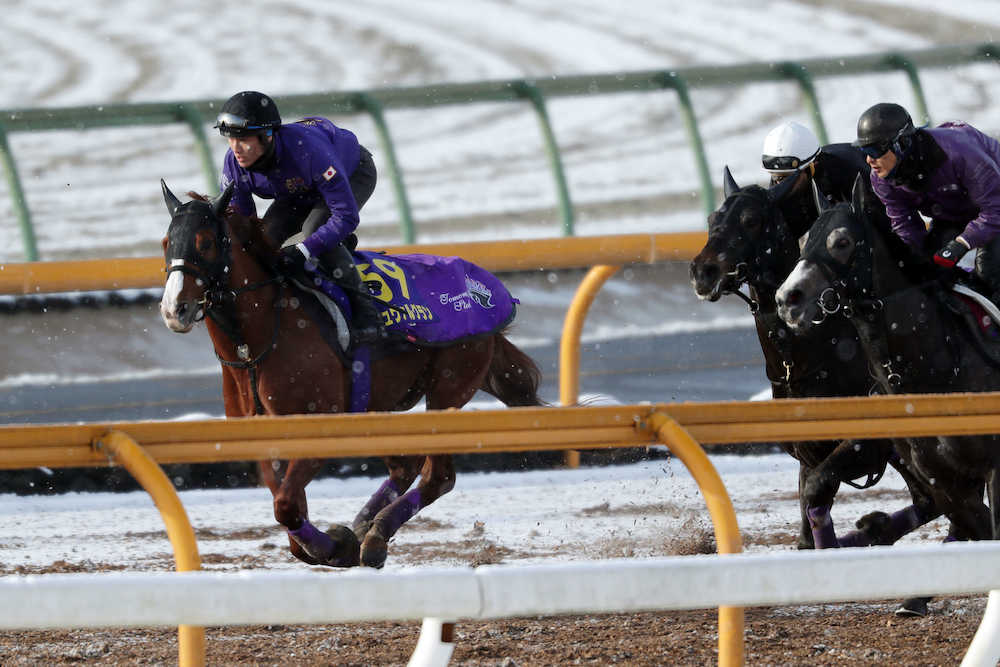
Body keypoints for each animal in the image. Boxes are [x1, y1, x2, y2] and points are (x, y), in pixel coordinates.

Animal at [159, 183, 544, 568]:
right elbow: (287, 504)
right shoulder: (264, 438)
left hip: (450, 384)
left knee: (438, 476)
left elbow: (285, 506)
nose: (174, 309)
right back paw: (366, 528)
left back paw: (374, 537)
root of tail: (489, 287)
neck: (256, 344)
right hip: (377, 405)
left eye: (206, 242)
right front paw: (336, 540)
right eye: (165, 243)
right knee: (406, 466)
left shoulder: (319, 426)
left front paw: (333, 547)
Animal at [692, 168, 940, 584]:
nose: (702, 271)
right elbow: (809, 524)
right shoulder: (810, 455)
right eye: (712, 219)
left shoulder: (867, 445)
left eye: (752, 220)